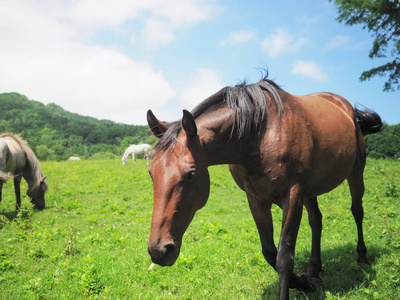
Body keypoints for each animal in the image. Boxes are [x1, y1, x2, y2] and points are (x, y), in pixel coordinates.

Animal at [146, 78, 382, 300]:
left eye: (191, 174)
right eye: (150, 172)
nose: (159, 251)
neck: (258, 135)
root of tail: (346, 107)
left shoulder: (292, 196)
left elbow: (284, 257)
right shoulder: (256, 199)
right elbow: (269, 252)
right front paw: (305, 281)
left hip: (356, 171)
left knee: (357, 211)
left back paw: (362, 257)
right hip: (310, 190)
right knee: (316, 220)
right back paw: (315, 272)